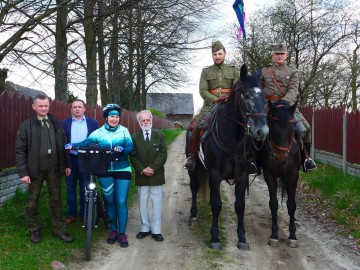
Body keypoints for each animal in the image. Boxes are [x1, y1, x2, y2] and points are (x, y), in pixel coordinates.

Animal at [256, 100, 300, 248]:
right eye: (273, 129)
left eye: (292, 129)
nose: (281, 159)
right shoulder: (269, 175)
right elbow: (273, 203)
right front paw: (274, 235)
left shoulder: (293, 175)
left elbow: (291, 204)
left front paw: (292, 236)